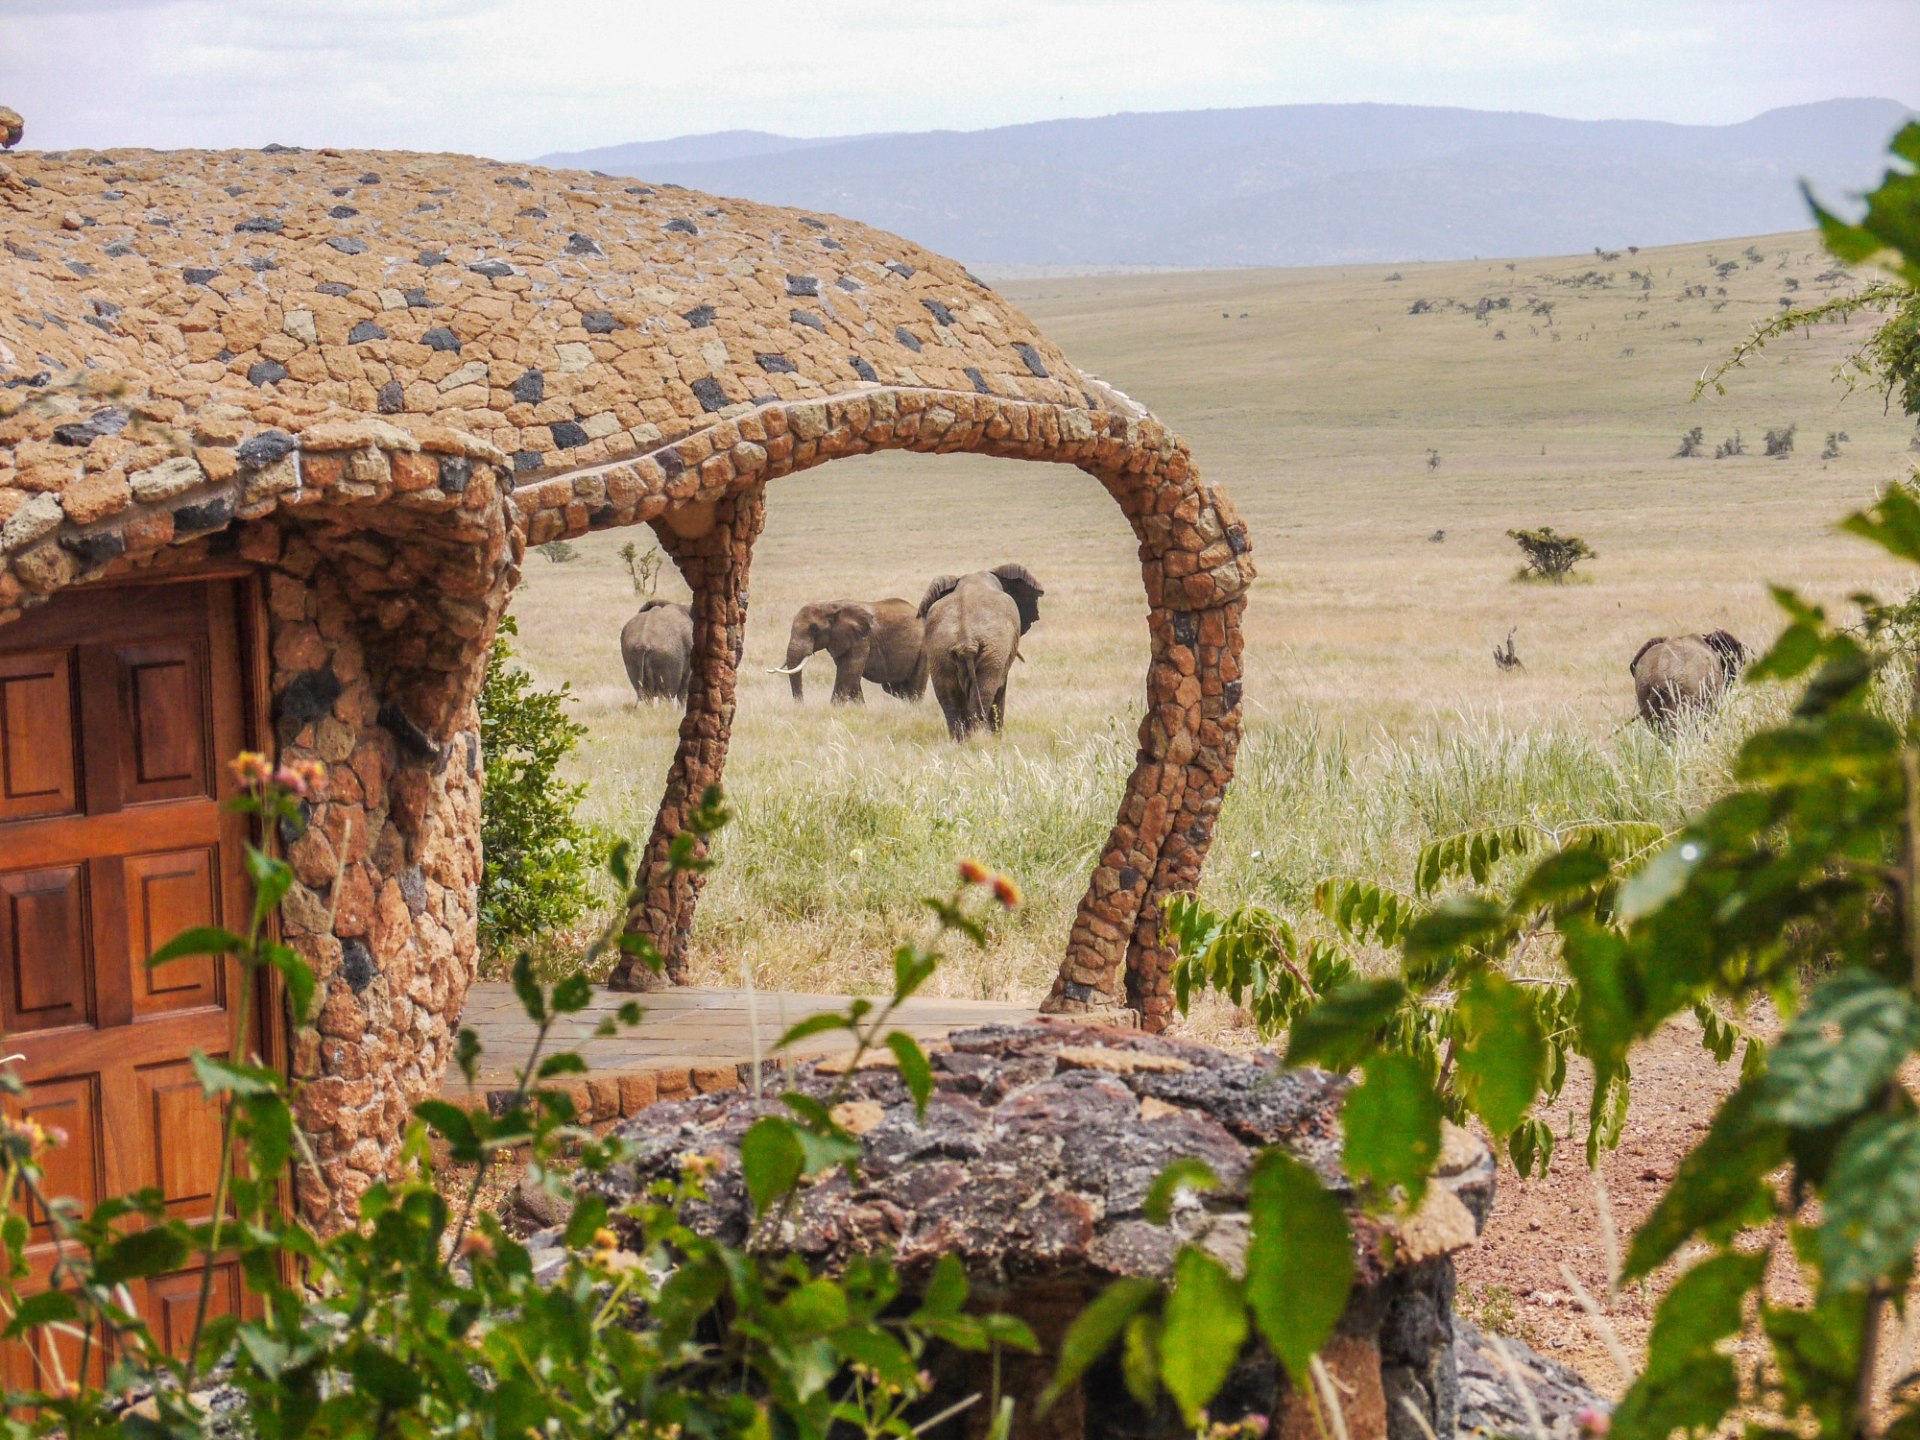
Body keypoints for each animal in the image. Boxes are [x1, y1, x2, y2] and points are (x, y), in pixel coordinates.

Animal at [764, 599, 929, 706]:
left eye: (814, 629)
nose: (801, 706)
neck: (831, 605)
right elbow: (851, 677)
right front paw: (860, 710)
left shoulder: (861, 640)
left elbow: (848, 672)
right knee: (895, 689)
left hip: (923, 651)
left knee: (914, 690)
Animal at [917, 564, 1052, 744]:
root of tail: (966, 640)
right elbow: (1001, 688)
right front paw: (997, 740)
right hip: (992, 653)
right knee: (985, 693)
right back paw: (978, 739)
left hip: (939, 652)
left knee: (948, 700)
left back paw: (960, 742)